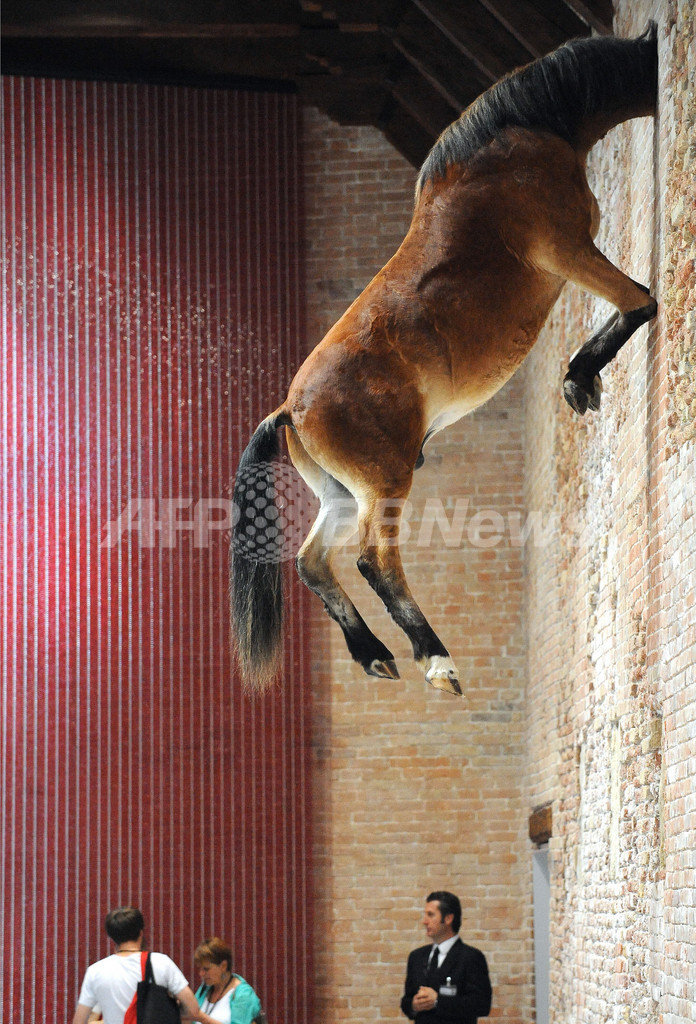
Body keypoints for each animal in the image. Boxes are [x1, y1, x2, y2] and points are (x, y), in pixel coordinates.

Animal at [231, 24, 658, 696]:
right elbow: (641, 301)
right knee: (373, 561)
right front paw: (579, 377)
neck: (522, 138)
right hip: (384, 485)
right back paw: (435, 659)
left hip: (343, 495)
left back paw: (374, 653)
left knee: (312, 564)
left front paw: (581, 381)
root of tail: (290, 409)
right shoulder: (567, 249)